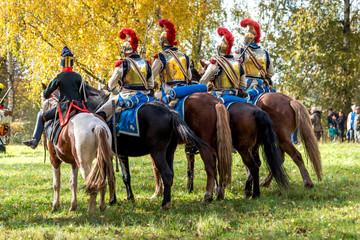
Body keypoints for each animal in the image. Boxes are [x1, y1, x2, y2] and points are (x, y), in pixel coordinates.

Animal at [84, 85, 214, 209]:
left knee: (168, 174)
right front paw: (129, 198)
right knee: (171, 174)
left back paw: (165, 204)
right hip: (169, 152)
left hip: (158, 152)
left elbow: (115, 176)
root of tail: (170, 112)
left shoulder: (116, 154)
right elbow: (126, 176)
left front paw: (113, 200)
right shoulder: (122, 154)